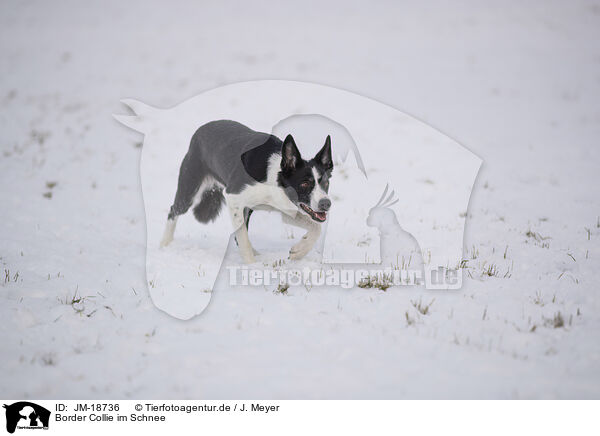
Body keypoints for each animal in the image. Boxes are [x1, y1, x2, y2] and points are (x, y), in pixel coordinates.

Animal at [159, 119, 336, 262]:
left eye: (326, 183)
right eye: (305, 183)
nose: (326, 204)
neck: (273, 179)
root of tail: (200, 131)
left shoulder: (286, 208)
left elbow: (316, 227)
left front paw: (299, 251)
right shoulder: (233, 197)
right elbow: (243, 237)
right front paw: (251, 265)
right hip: (189, 189)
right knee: (173, 210)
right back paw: (164, 245)